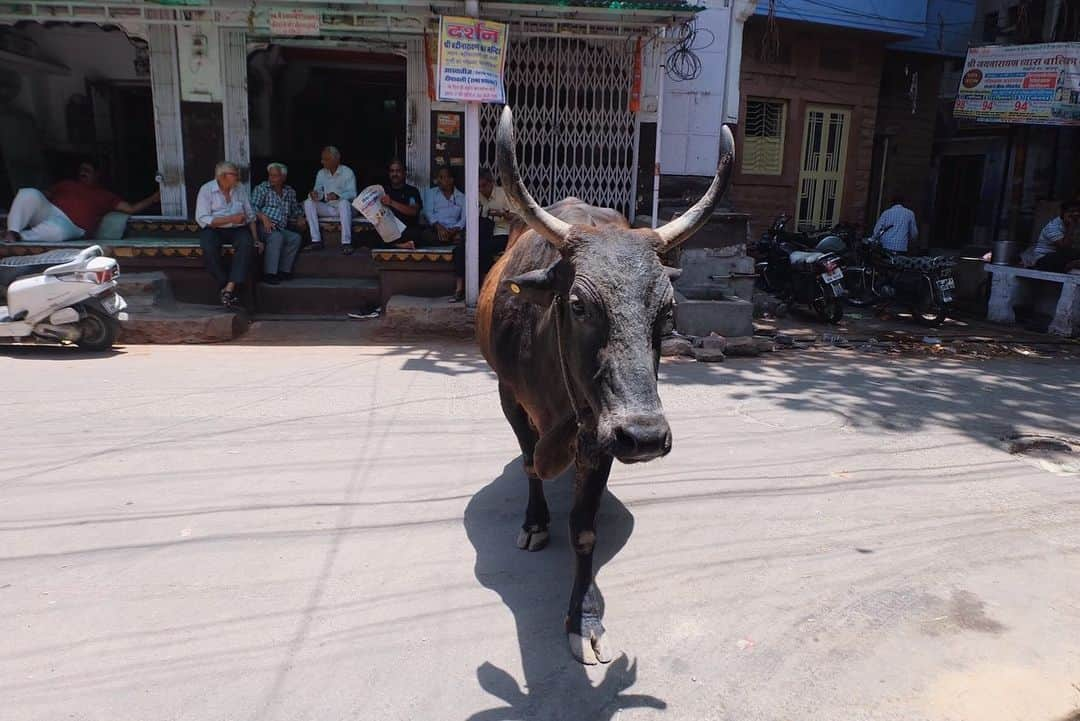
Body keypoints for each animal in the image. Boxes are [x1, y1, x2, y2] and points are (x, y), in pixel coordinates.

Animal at [479, 106, 738, 664]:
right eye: (578, 304)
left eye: (667, 310)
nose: (644, 437)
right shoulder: (511, 400)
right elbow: (530, 462)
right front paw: (535, 522)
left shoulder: (599, 435)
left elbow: (584, 528)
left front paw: (585, 616)